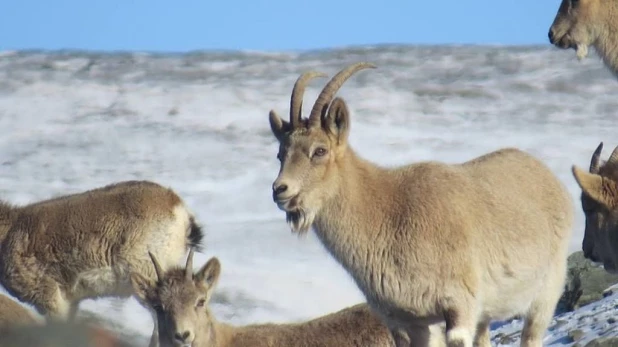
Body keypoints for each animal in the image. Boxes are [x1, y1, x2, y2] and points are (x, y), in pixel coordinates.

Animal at [268, 63, 572, 347]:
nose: (280, 190)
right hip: (486, 315)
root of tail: (550, 177)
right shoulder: (406, 320)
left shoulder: (459, 305)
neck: (389, 215)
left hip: (545, 293)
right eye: (281, 153)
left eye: (320, 150)